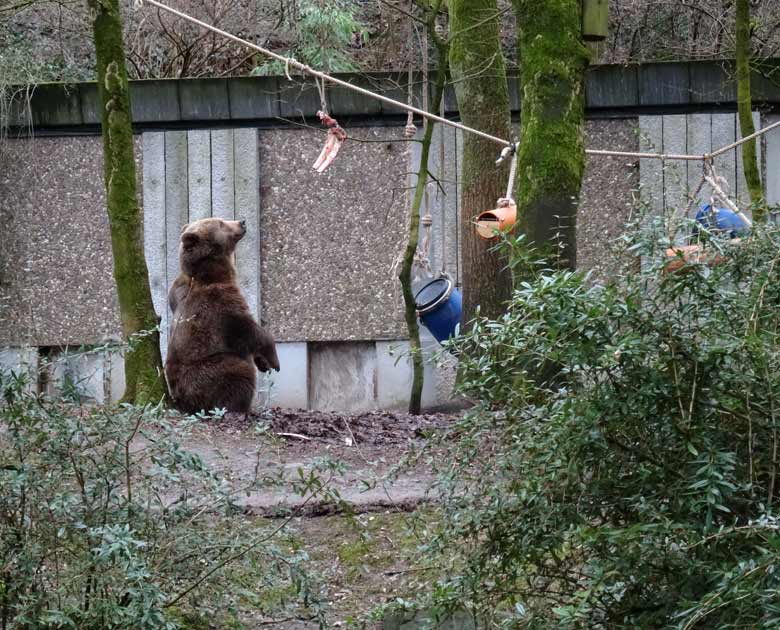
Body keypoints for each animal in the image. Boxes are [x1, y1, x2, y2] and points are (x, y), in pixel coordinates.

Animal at [165, 220, 280, 418]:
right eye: (220, 222)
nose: (242, 222)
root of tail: (181, 403)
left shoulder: (177, 293)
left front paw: (263, 363)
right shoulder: (220, 303)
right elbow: (250, 330)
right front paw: (273, 361)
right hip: (204, 372)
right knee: (239, 371)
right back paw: (239, 409)